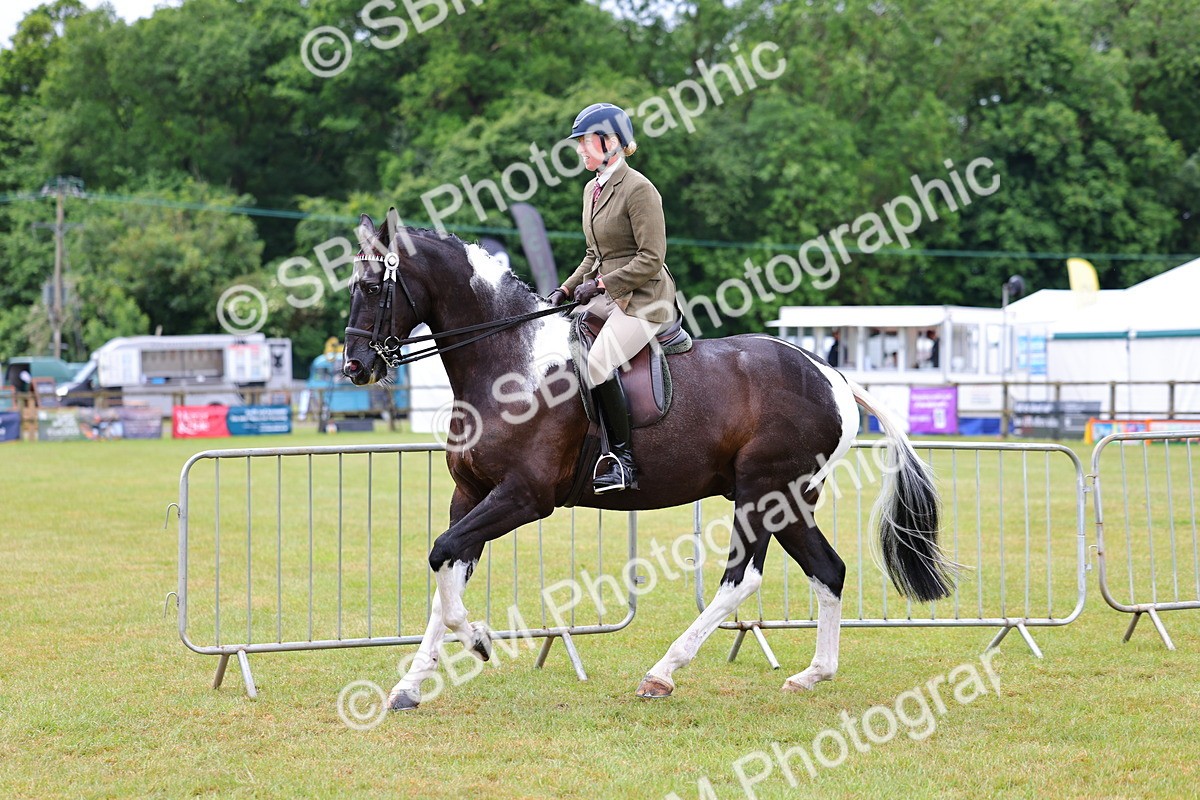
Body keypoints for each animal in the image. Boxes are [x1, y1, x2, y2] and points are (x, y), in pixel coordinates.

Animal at [342, 210, 956, 710]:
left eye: (373, 287)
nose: (355, 367)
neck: (510, 361)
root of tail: (831, 375)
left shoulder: (523, 496)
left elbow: (442, 557)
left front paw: (478, 641)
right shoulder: (469, 494)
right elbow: (446, 569)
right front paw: (410, 687)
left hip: (762, 492)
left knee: (741, 579)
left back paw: (662, 673)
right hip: (788, 501)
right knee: (828, 570)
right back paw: (813, 674)